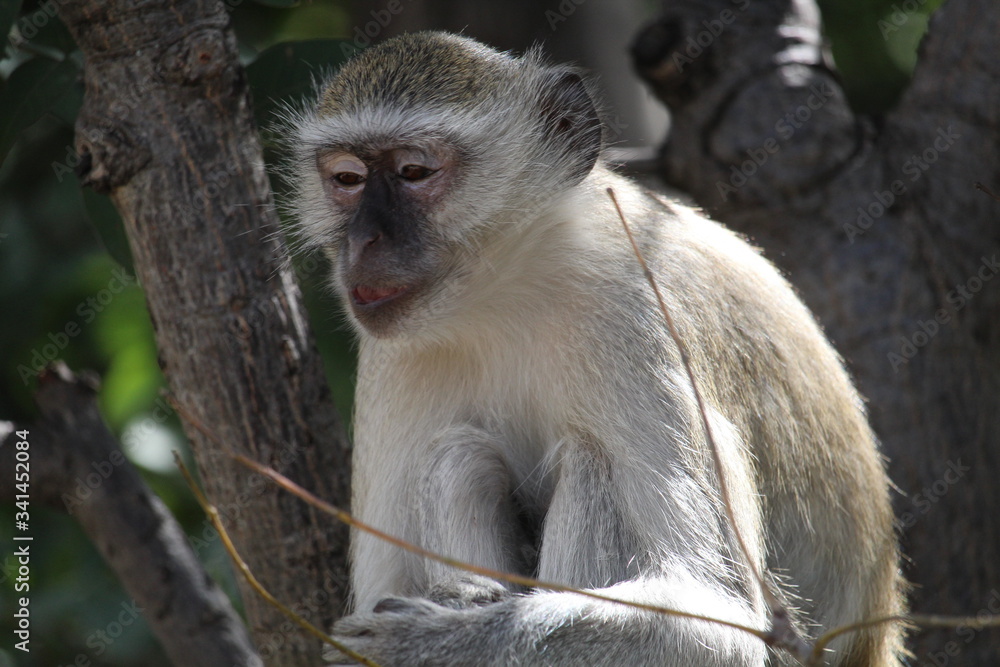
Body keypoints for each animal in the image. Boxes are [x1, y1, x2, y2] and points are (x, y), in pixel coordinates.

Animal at [285, 31, 905, 666]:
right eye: (347, 179)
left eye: (413, 171)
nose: (364, 240)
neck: (510, 289)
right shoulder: (389, 356)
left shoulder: (639, 308)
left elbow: (719, 627)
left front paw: (436, 641)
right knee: (455, 457)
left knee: (591, 464)